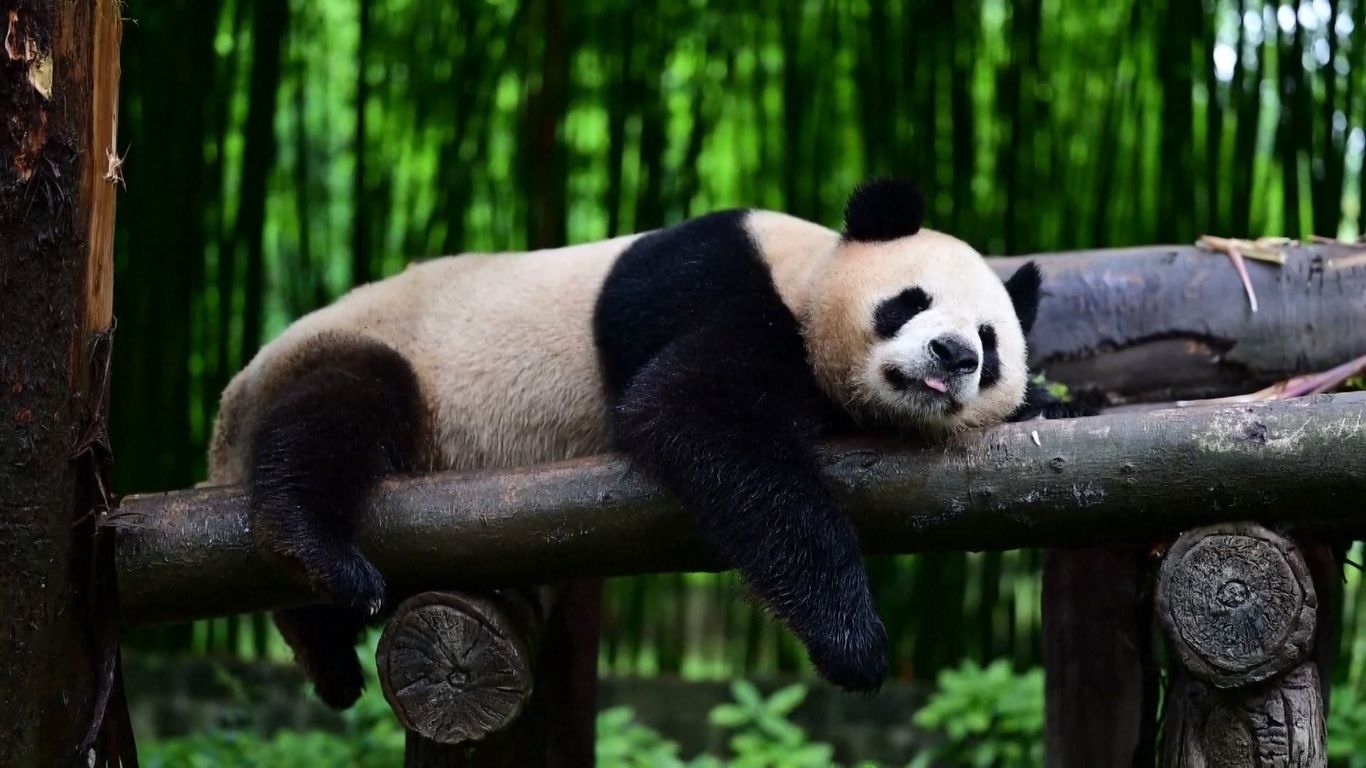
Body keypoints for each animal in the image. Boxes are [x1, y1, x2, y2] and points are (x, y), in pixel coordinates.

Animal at [205, 177, 1082, 709]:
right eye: (910, 301)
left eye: (990, 342)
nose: (954, 355)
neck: (802, 270)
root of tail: (227, 415)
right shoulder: (714, 288)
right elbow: (695, 416)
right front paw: (852, 643)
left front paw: (1045, 404)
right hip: (376, 360)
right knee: (338, 412)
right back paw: (318, 552)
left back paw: (327, 655)